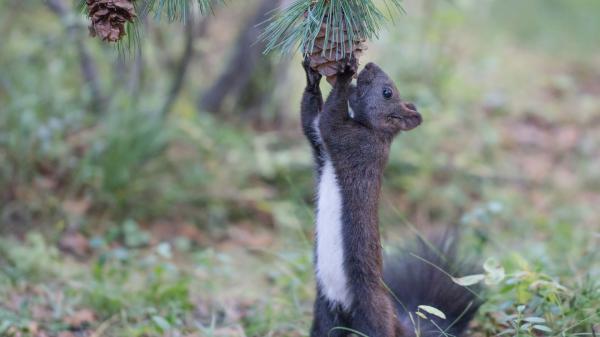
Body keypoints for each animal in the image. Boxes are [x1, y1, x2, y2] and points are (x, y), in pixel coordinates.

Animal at [302, 55, 480, 336]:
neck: (374, 131)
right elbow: (310, 121)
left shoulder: (355, 143)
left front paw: (344, 76)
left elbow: (329, 120)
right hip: (324, 316)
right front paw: (312, 76)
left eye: (387, 92)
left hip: (372, 315)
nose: (370, 65)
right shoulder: (322, 146)